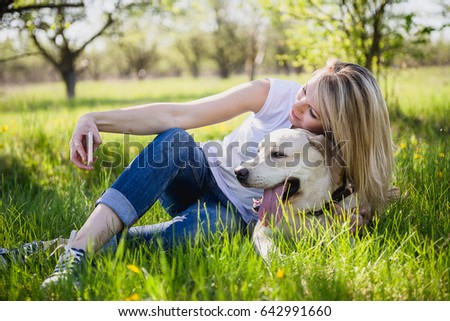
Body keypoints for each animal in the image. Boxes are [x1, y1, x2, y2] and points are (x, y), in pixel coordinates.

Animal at [232, 127, 356, 260]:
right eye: (258, 151)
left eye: (278, 154)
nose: (238, 172)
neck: (305, 212)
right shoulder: (261, 231)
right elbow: (270, 251)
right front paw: (284, 260)